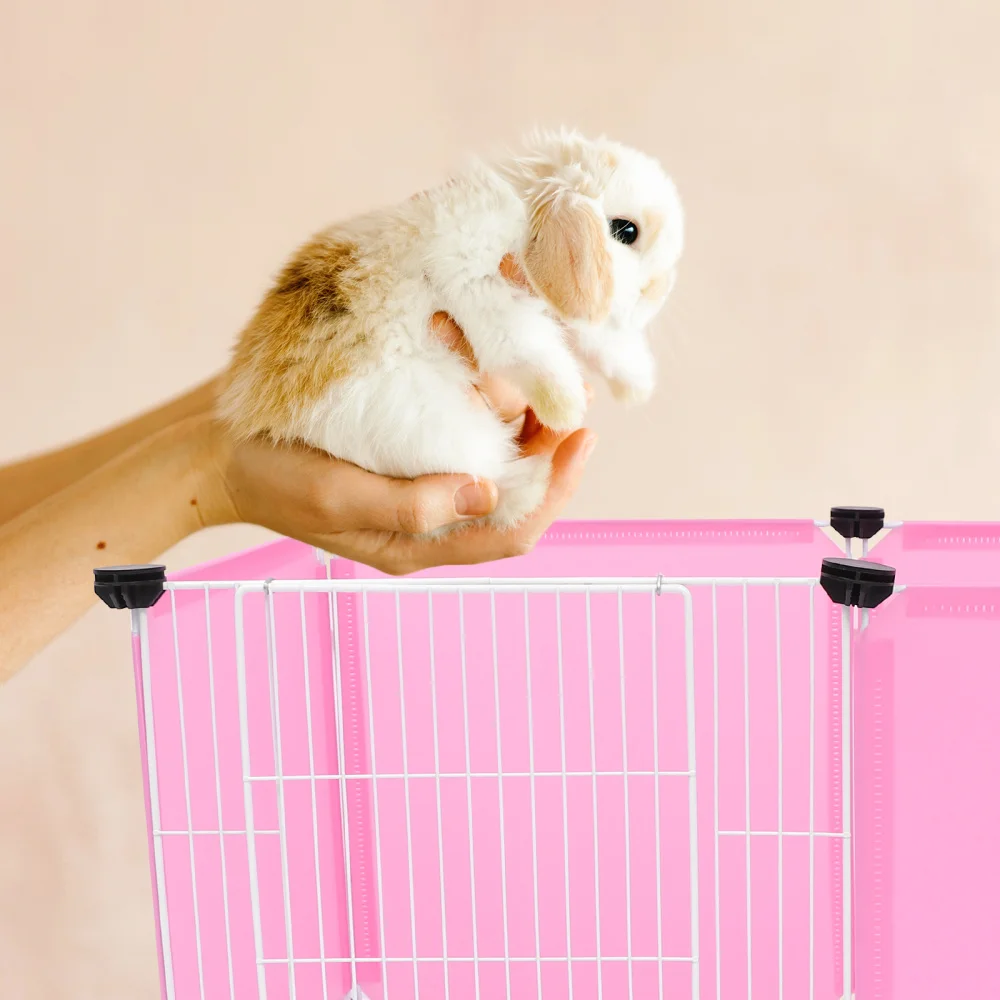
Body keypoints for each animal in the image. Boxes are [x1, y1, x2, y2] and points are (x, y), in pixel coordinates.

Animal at [218, 128, 684, 532]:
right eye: (626, 230)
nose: (661, 292)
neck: (524, 212)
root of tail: (261, 415)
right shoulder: (481, 285)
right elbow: (526, 347)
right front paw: (566, 407)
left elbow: (602, 342)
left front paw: (637, 386)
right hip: (426, 430)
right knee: (487, 473)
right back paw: (531, 483)